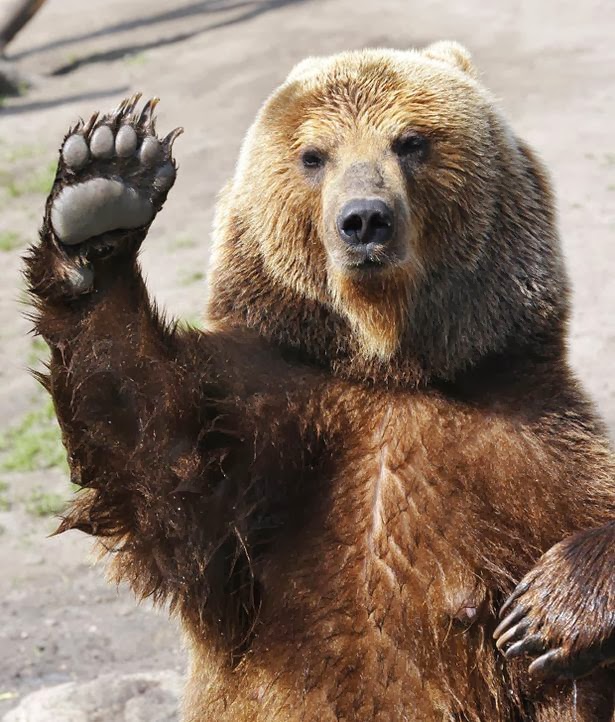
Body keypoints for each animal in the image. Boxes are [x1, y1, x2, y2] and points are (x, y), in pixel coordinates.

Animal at [25, 42, 615, 716]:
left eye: (410, 141)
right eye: (313, 155)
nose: (365, 220)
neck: (389, 367)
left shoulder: (527, 447)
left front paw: (547, 608)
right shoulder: (262, 435)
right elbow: (147, 440)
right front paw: (105, 185)